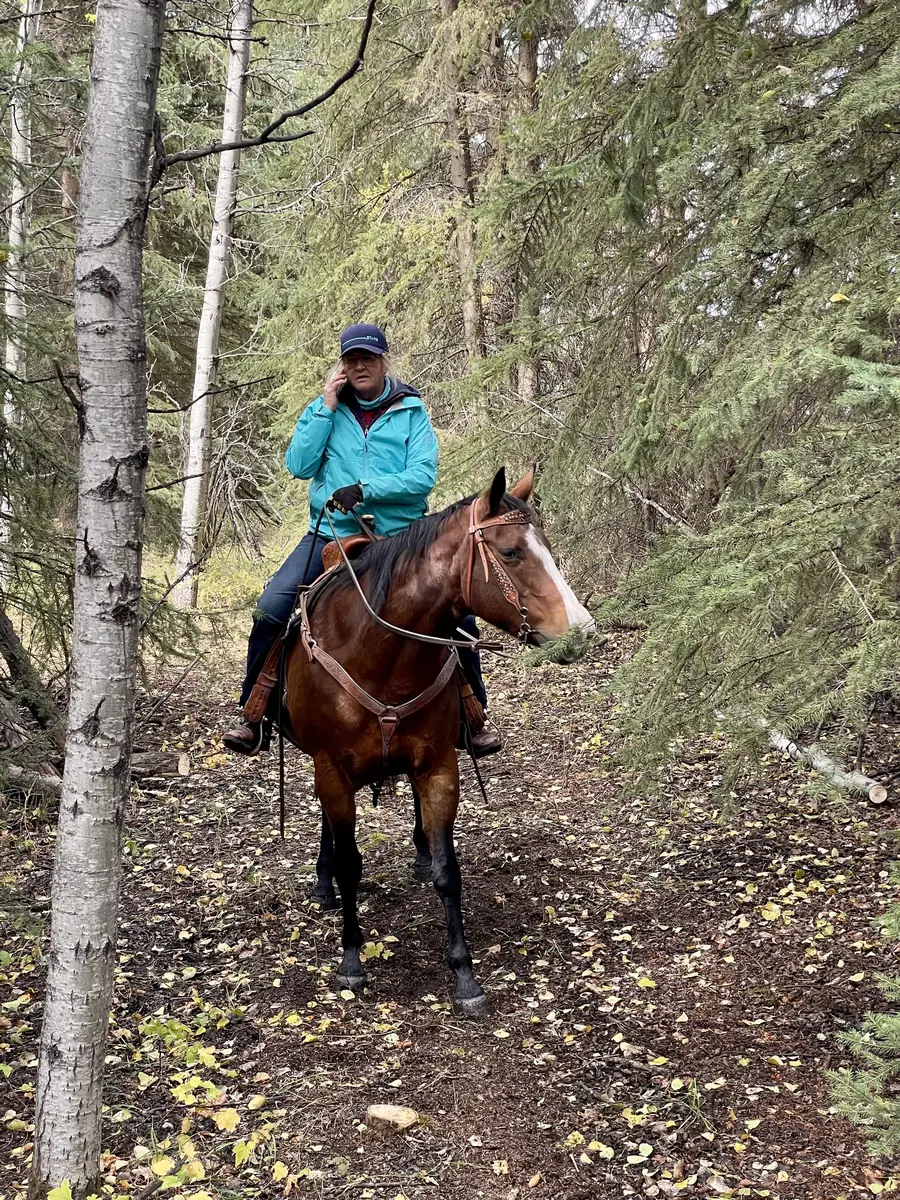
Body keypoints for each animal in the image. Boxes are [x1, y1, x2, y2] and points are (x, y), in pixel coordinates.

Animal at [282, 466, 593, 1013]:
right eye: (511, 552)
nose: (581, 631)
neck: (380, 650)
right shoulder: (332, 769)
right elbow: (349, 864)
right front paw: (351, 961)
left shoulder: (439, 768)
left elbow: (450, 871)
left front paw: (465, 975)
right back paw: (323, 883)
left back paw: (419, 856)